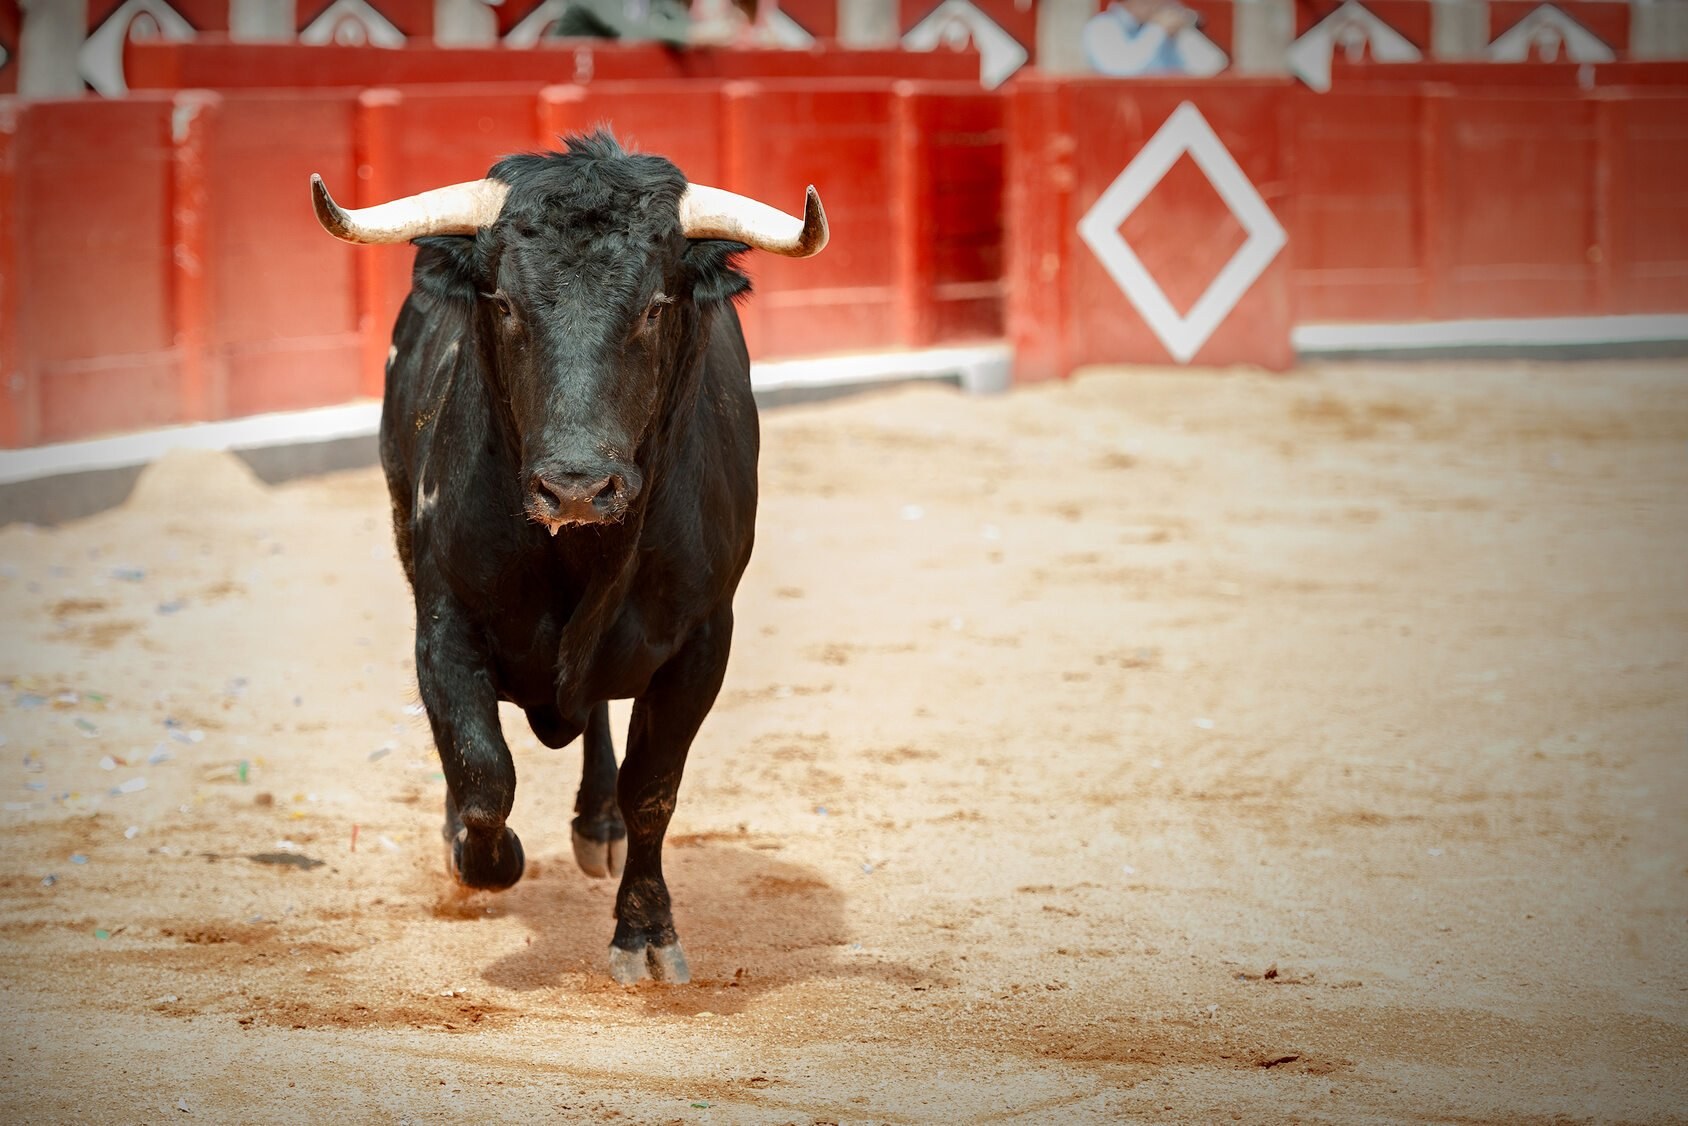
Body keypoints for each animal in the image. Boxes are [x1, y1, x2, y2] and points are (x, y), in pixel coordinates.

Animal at [312, 127, 830, 979]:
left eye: (654, 306)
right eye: (504, 304)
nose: (579, 487)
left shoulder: (703, 641)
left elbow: (653, 788)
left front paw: (646, 933)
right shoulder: (442, 624)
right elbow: (483, 773)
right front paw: (480, 859)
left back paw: (598, 826)